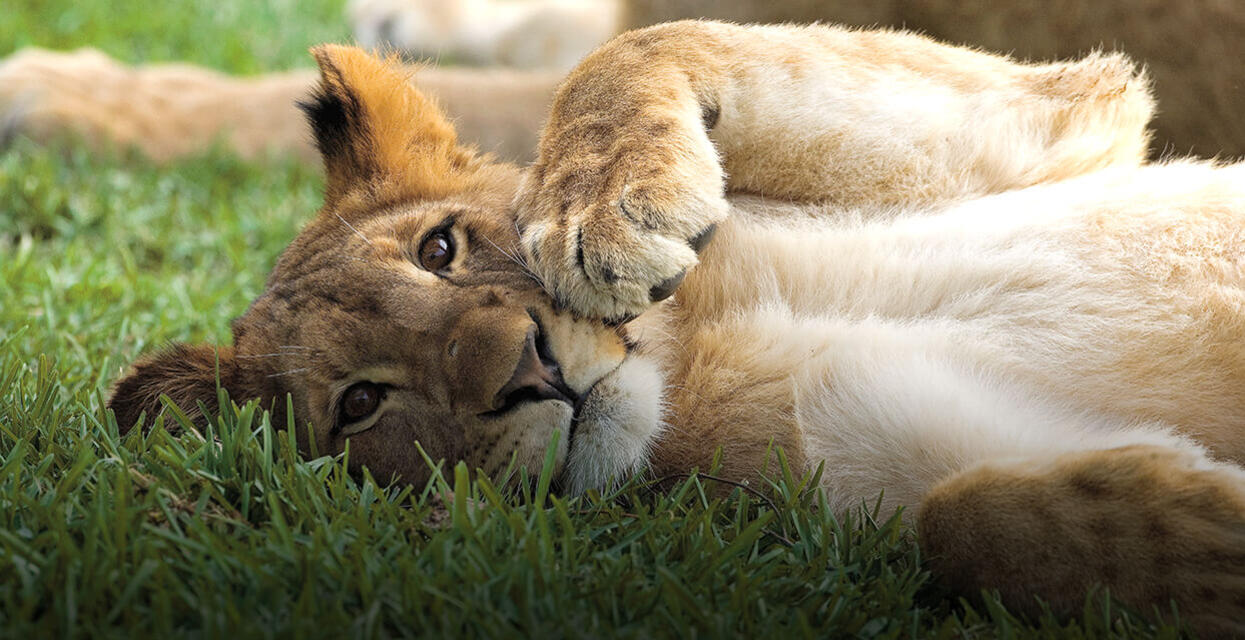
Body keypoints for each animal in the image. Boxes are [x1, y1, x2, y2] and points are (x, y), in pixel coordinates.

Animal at [107, 22, 1245, 635]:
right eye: (357, 405)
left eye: (440, 248)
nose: (526, 371)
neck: (700, 354)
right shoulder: (869, 468)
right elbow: (959, 519)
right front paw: (1220, 544)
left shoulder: (1061, 121)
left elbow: (643, 46)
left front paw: (605, 205)